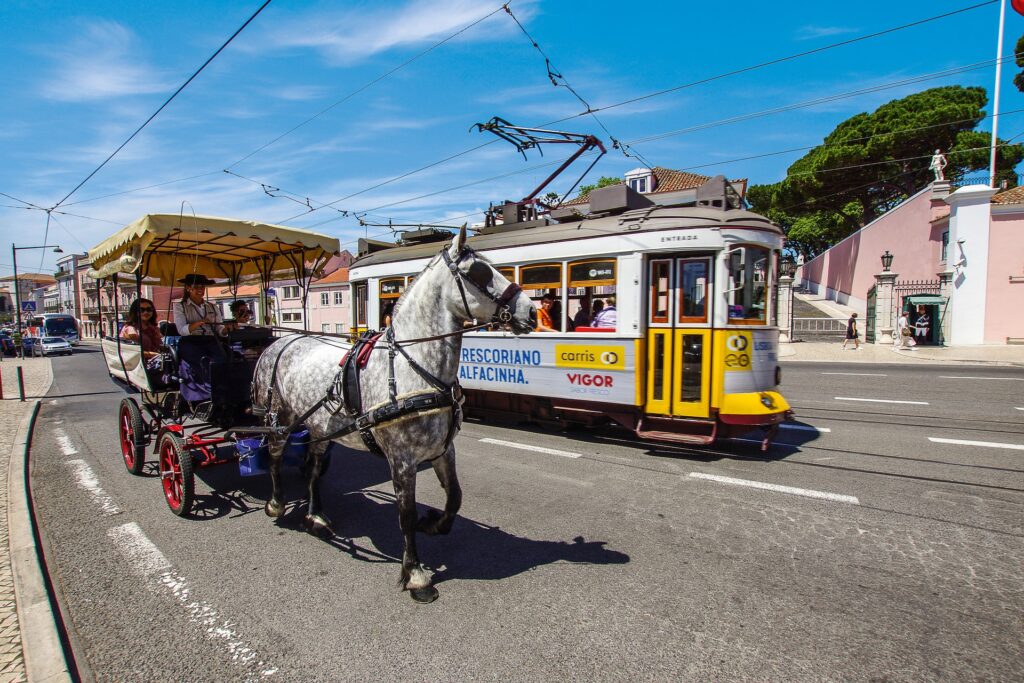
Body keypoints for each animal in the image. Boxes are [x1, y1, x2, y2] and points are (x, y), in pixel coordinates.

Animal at [250, 227, 536, 602]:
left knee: (313, 471)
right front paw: (415, 574)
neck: (414, 367)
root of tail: (279, 342)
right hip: (280, 420)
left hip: (320, 429)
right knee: (273, 456)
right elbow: (405, 513)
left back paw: (316, 517)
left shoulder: (443, 450)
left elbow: (455, 497)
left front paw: (434, 524)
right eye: (480, 272)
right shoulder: (402, 459)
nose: (533, 311)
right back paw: (276, 503)